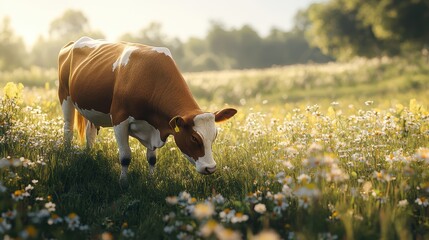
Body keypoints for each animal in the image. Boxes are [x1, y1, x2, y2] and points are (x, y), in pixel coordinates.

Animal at [56, 35, 236, 183]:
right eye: (194, 138)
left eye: (214, 135)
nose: (210, 168)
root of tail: (73, 42)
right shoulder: (119, 119)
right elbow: (125, 157)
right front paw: (123, 182)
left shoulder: (153, 124)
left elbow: (151, 158)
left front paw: (151, 179)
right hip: (65, 95)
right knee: (68, 128)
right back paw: (67, 153)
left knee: (90, 133)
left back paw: (89, 154)